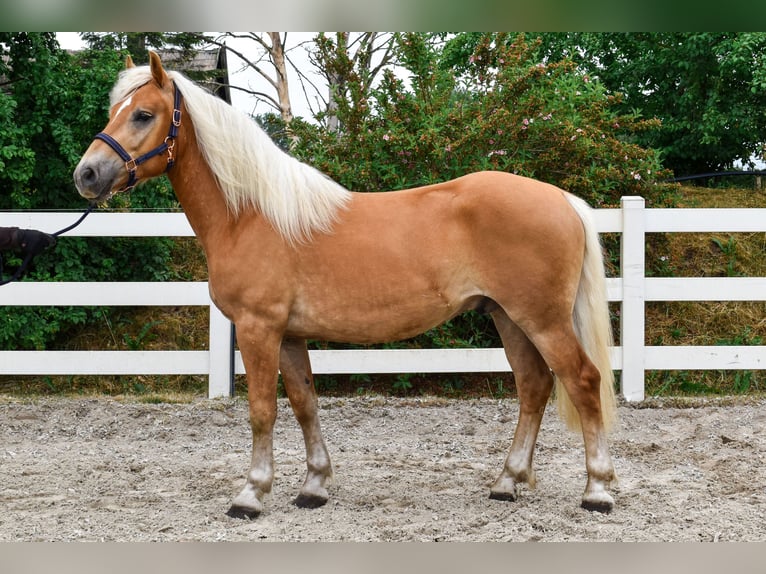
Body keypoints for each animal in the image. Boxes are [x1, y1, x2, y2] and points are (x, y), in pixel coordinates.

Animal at [75, 51, 620, 520]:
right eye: (115, 110)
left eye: (143, 114)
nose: (87, 174)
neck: (250, 216)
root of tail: (563, 199)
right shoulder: (289, 334)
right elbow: (304, 404)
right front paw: (313, 486)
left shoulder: (258, 329)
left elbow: (262, 411)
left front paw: (251, 493)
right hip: (508, 316)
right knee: (534, 386)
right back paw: (507, 481)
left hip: (542, 319)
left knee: (582, 381)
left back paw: (597, 490)